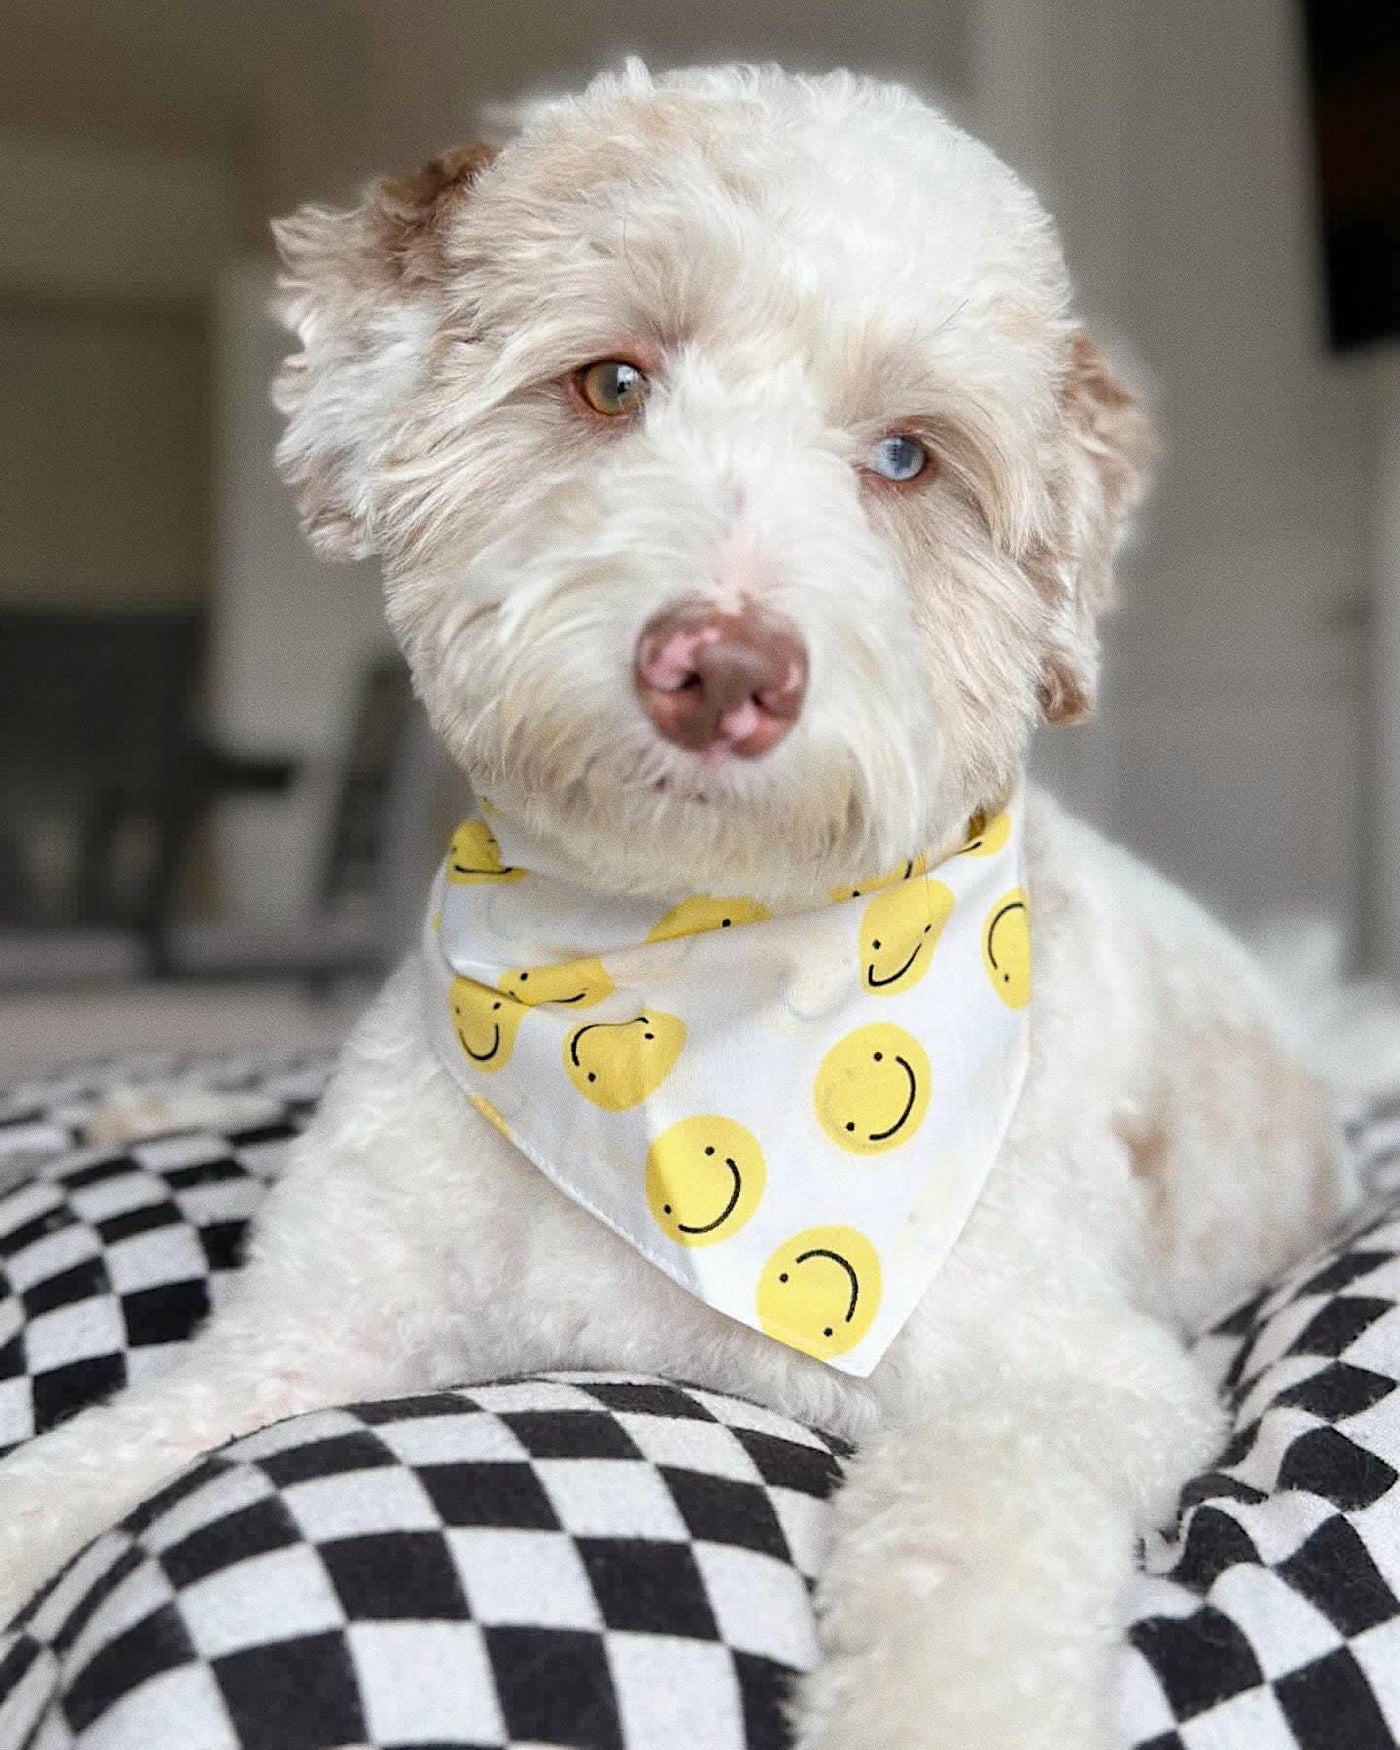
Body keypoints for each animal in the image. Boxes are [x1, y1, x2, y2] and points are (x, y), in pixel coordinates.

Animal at [0, 61, 1358, 1743]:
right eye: (609, 383)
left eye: (908, 459)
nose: (722, 669)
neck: (667, 970)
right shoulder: (309, 1330)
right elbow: (96, 1457)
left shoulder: (1061, 1386)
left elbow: (970, 1578)